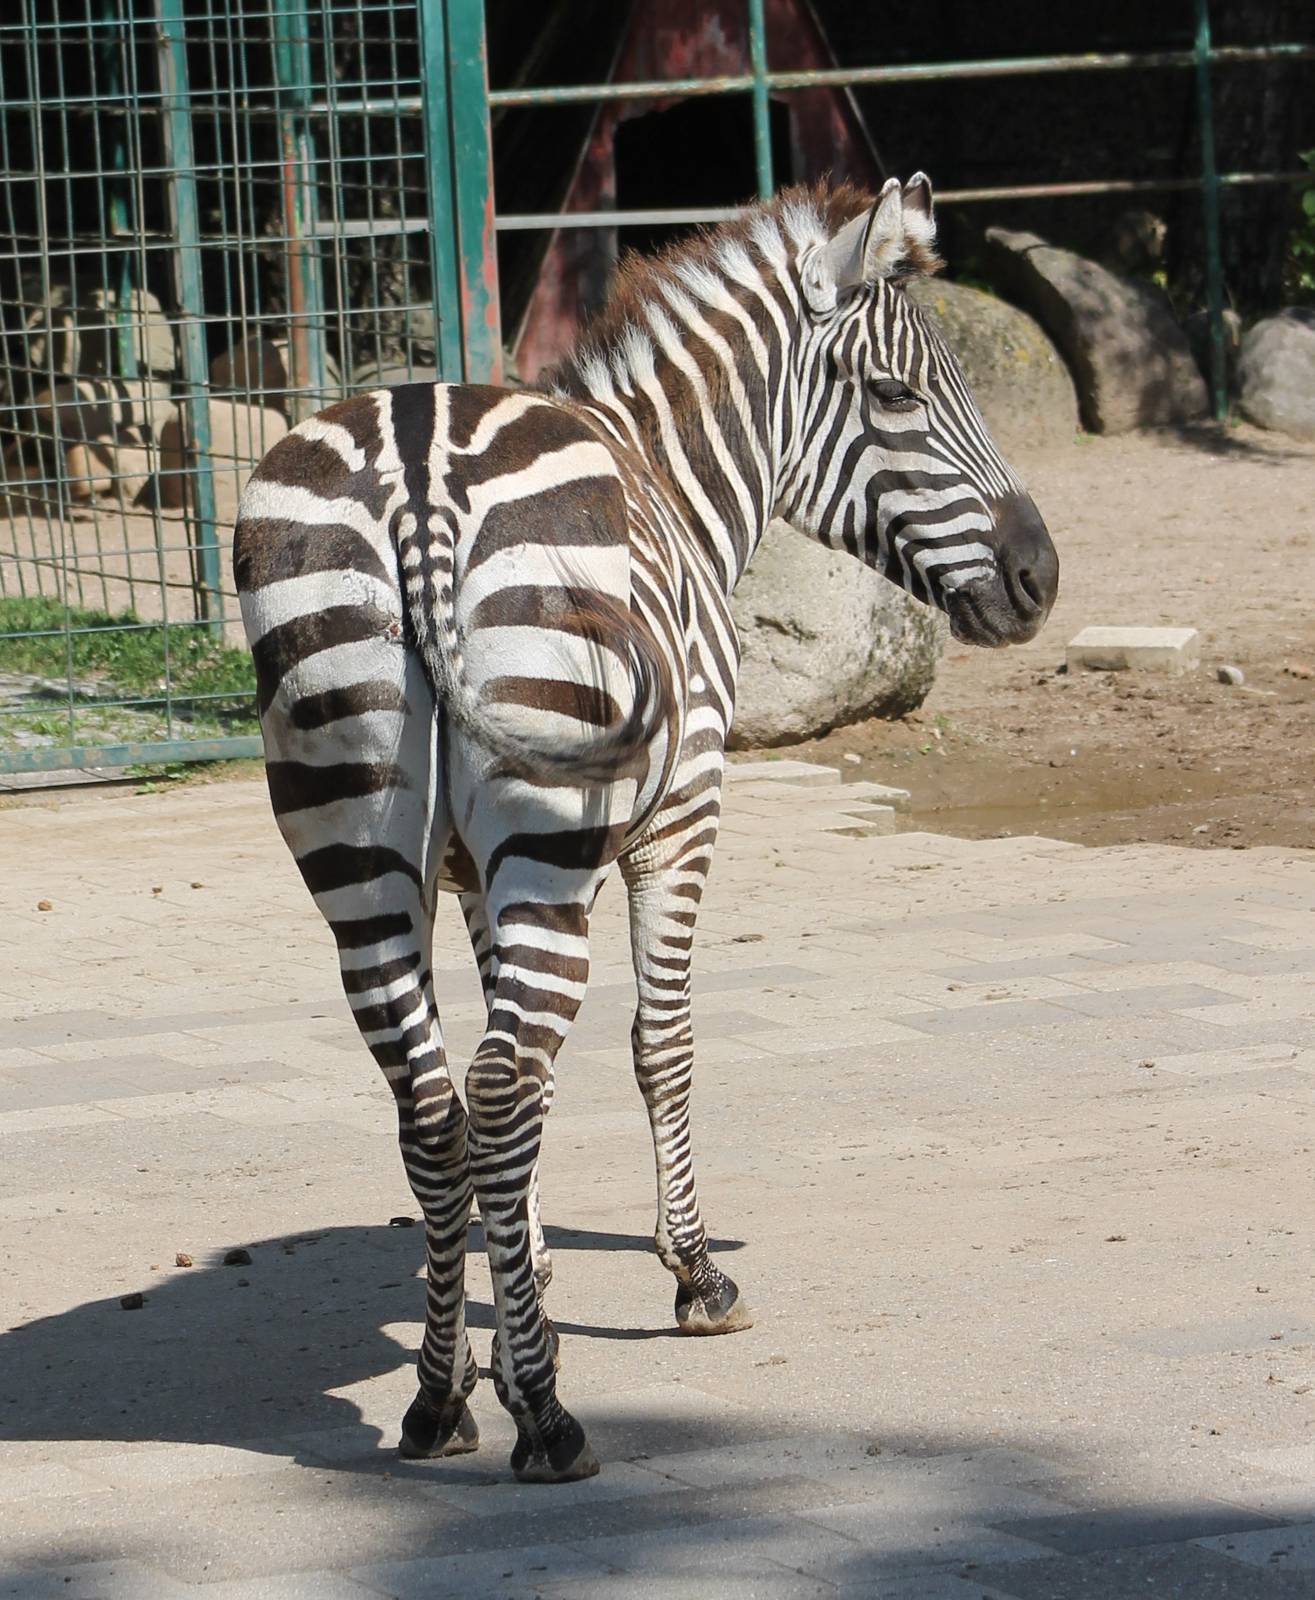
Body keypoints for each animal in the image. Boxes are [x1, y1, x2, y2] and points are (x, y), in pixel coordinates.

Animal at [234, 175, 1058, 1484]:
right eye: (896, 396)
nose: (1040, 577)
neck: (672, 477)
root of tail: (415, 467)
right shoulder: (681, 816)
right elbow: (657, 1043)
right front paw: (692, 1276)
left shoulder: (477, 875)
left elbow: (512, 1106)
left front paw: (518, 1285)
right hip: (545, 825)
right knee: (498, 1080)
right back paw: (547, 1418)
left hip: (360, 846)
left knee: (439, 1100)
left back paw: (439, 1401)